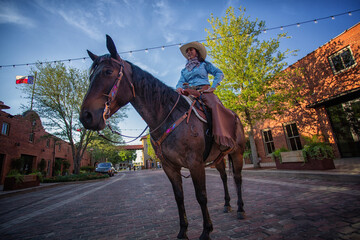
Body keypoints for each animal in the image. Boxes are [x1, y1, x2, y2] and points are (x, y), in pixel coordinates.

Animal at [80, 34, 246, 239]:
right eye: (90, 76)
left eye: (108, 71)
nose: (86, 116)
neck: (169, 116)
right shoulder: (169, 166)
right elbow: (178, 197)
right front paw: (183, 231)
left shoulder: (195, 163)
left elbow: (201, 196)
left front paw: (206, 231)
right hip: (218, 157)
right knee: (224, 177)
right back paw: (226, 204)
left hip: (237, 153)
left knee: (237, 178)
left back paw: (240, 209)